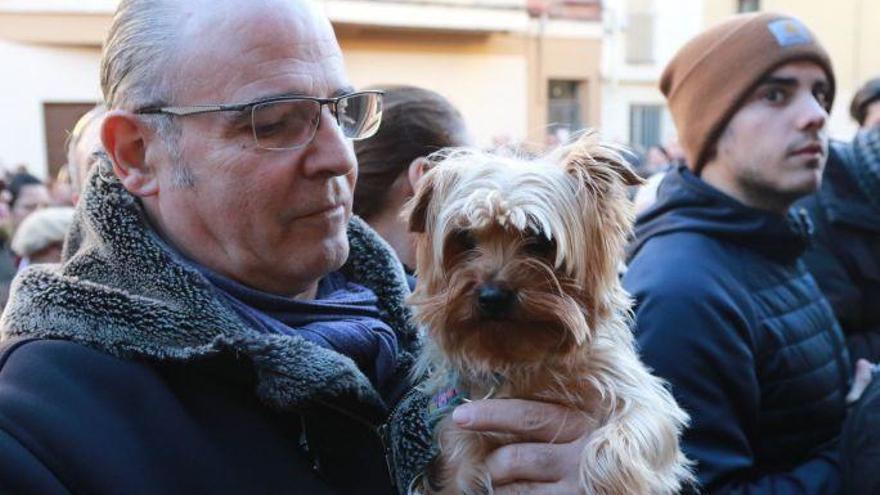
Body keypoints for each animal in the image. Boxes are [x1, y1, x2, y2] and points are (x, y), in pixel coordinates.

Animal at [408, 133, 696, 495]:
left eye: (540, 240)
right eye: (465, 238)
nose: (492, 296)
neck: (522, 362)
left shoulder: (637, 396)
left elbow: (626, 436)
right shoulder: (457, 441)